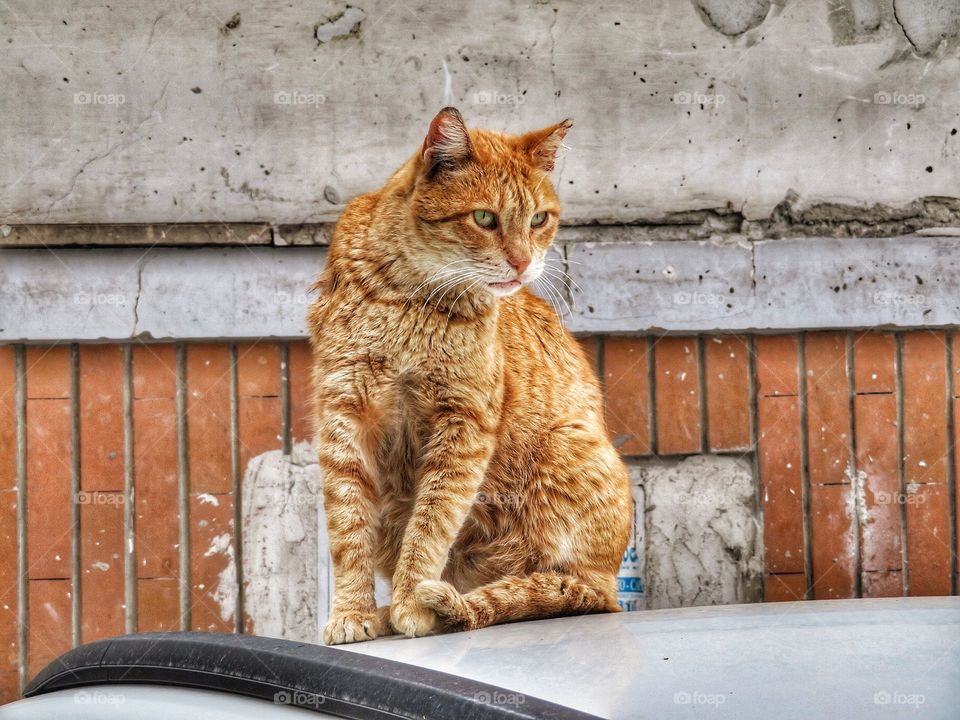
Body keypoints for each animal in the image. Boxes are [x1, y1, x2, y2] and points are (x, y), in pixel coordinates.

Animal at [308, 107, 632, 640]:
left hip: (569, 455)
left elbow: (432, 522)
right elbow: (348, 529)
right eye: (484, 218)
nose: (523, 263)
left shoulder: (464, 423)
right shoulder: (343, 415)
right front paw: (353, 613)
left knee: (566, 588)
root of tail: (610, 587)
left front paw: (410, 604)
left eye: (539, 219)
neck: (409, 296)